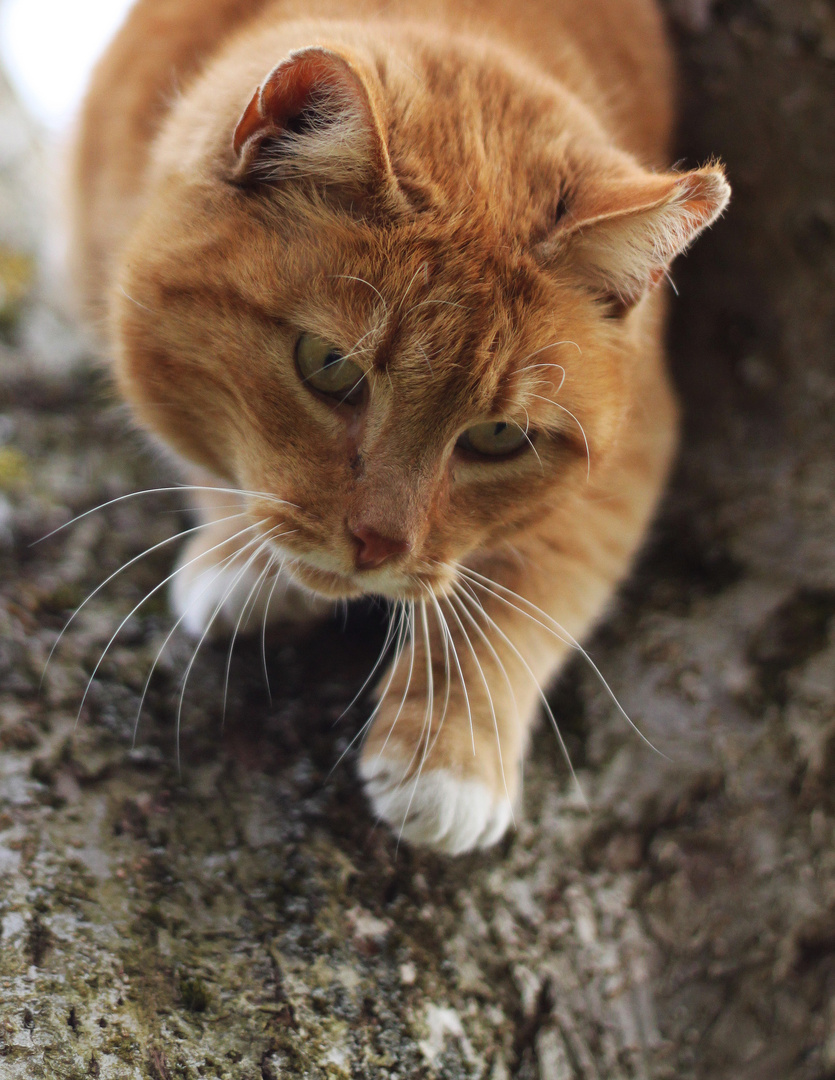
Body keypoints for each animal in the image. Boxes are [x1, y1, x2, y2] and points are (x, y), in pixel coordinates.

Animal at [68, 0, 725, 851]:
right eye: (328, 366)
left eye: (497, 437)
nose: (378, 543)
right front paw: (238, 555)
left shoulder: (641, 434)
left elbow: (533, 579)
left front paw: (451, 750)